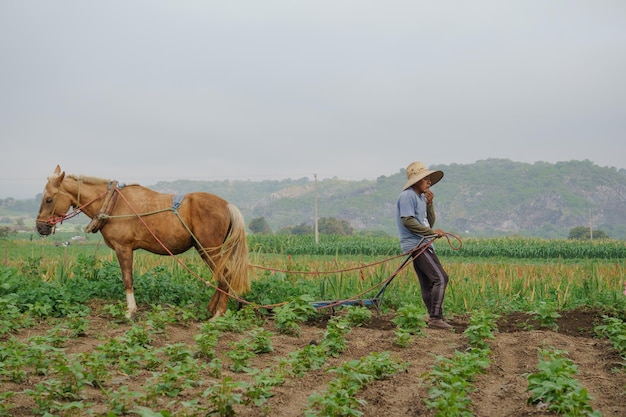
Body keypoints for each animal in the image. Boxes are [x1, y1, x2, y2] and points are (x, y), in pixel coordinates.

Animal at [35, 166, 250, 318]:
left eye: (49, 199)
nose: (40, 227)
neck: (113, 204)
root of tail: (227, 205)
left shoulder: (123, 248)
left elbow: (127, 279)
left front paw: (130, 311)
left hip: (209, 248)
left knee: (225, 275)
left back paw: (219, 314)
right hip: (203, 248)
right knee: (221, 276)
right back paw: (211, 309)